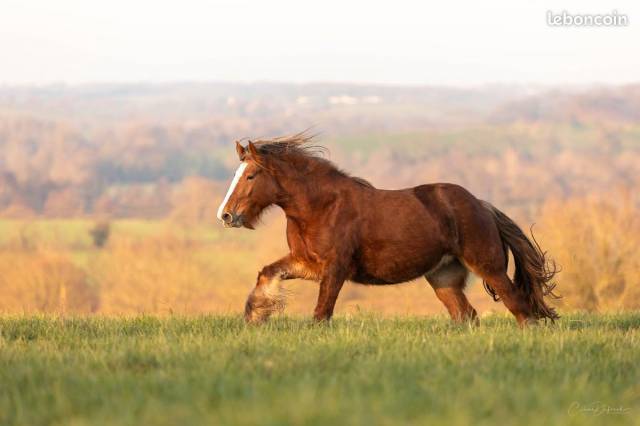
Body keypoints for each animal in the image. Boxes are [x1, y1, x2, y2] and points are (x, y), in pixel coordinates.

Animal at [218, 134, 556, 326]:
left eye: (251, 175)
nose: (226, 215)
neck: (321, 207)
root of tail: (483, 206)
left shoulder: (335, 268)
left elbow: (321, 314)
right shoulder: (306, 264)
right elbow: (267, 274)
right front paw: (256, 316)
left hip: (489, 268)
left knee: (521, 309)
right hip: (443, 278)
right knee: (466, 316)